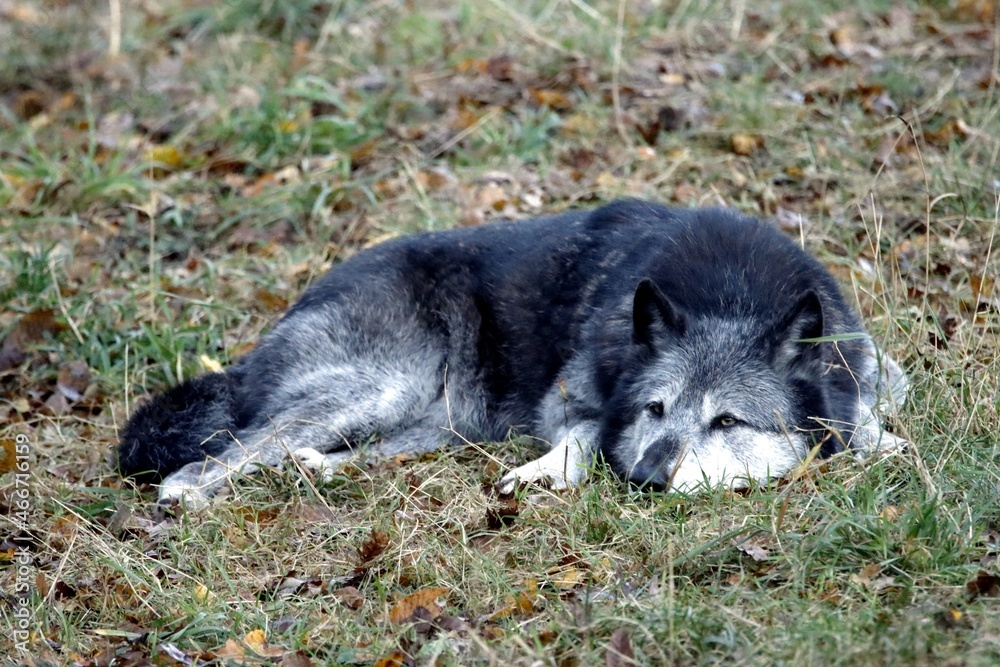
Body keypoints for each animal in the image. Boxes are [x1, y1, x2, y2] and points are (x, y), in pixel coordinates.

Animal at [118, 200, 906, 506]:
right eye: (655, 408)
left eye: (728, 422)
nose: (645, 479)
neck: (731, 287)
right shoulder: (570, 400)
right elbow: (583, 435)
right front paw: (544, 472)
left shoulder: (873, 371)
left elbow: (870, 417)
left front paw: (883, 444)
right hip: (377, 388)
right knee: (213, 460)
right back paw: (193, 493)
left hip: (438, 422)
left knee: (330, 454)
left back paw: (315, 469)